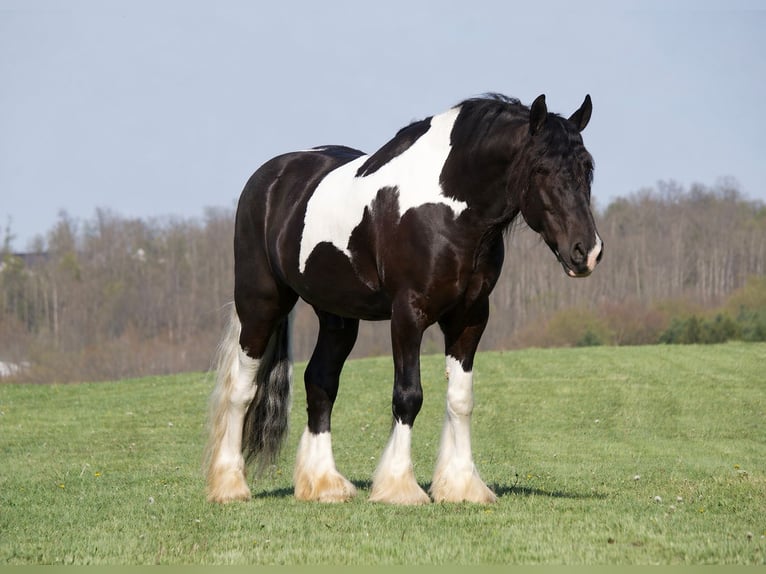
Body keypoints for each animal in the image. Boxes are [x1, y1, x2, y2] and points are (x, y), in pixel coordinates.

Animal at [204, 93, 603, 505]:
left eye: (587, 167)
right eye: (541, 168)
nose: (586, 252)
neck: (447, 208)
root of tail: (269, 177)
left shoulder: (470, 316)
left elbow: (461, 399)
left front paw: (462, 485)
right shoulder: (408, 314)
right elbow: (408, 395)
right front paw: (400, 487)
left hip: (336, 317)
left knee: (320, 383)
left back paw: (324, 483)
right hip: (260, 304)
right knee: (242, 389)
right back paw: (230, 485)